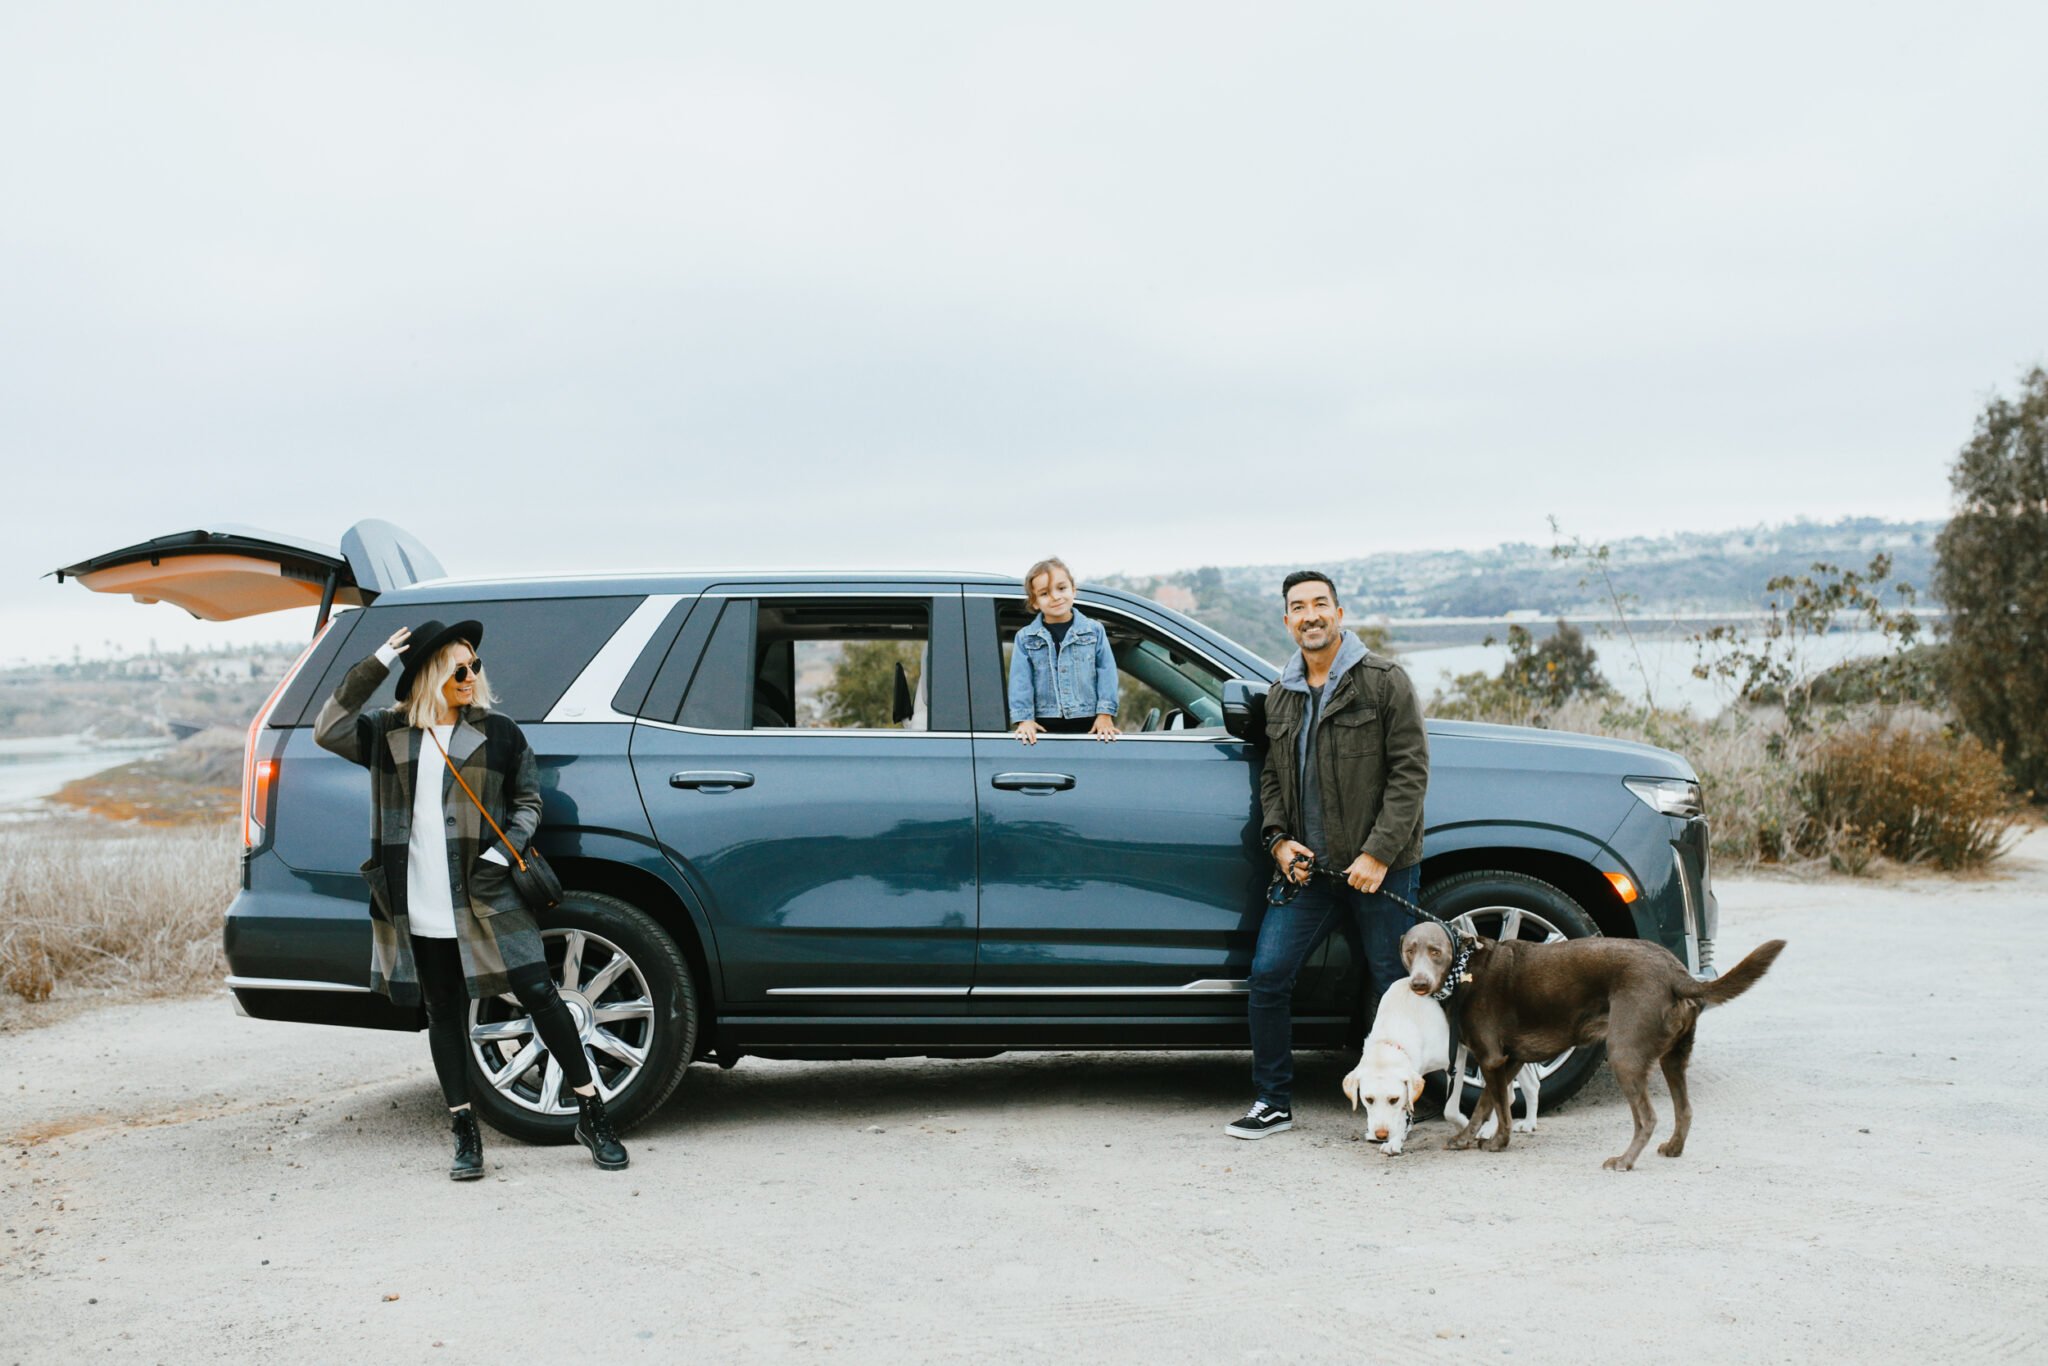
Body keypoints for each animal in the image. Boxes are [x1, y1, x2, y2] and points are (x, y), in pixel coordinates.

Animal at [1433, 933, 1785, 1171]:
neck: (1466, 966)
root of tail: (1677, 974)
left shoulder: (1492, 1057)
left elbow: (1498, 1108)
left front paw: (1497, 1142)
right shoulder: (1511, 1060)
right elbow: (1486, 1104)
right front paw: (1465, 1138)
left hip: (1624, 1055)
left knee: (1647, 1118)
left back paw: (1624, 1161)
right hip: (1673, 1058)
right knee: (1684, 1110)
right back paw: (1673, 1147)